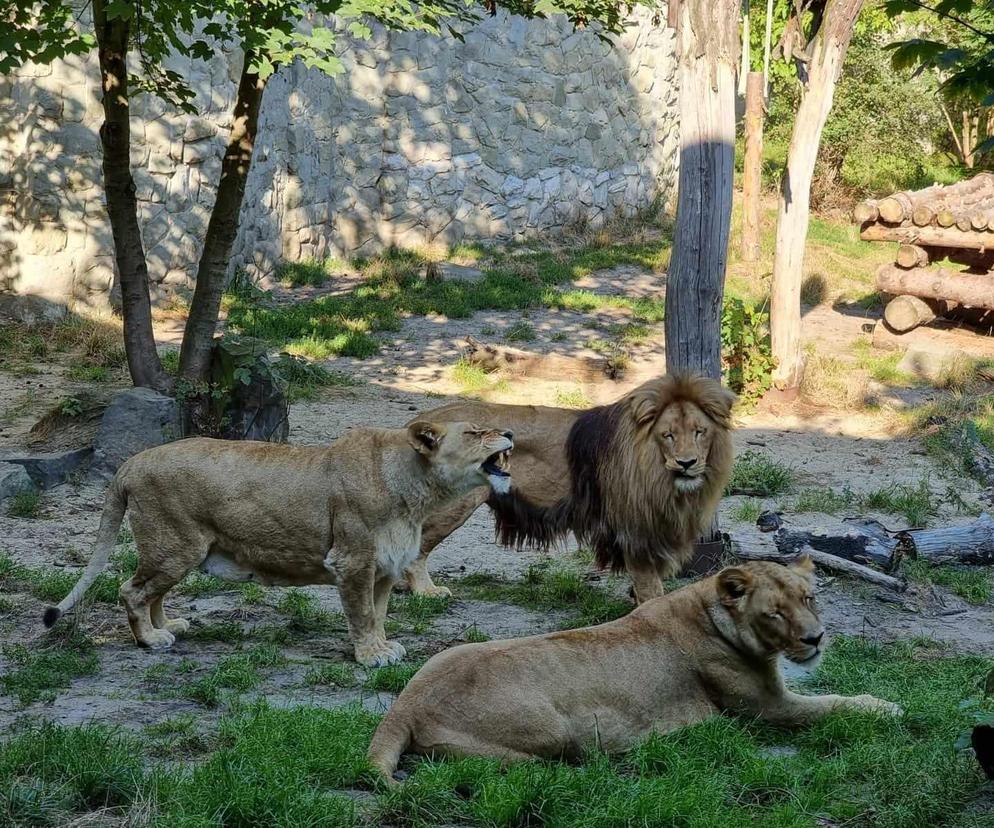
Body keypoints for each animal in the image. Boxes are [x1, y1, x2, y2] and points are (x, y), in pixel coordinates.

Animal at [40, 420, 512, 668]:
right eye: (474, 432)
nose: (509, 432)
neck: (416, 491)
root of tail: (131, 462)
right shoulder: (352, 561)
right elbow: (361, 615)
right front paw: (369, 657)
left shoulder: (383, 568)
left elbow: (378, 614)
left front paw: (383, 647)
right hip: (175, 546)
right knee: (131, 590)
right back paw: (150, 641)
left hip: (176, 551)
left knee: (151, 592)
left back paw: (168, 626)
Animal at [368, 556, 904, 776]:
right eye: (775, 612)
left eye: (809, 598)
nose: (816, 638)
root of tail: (404, 705)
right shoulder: (768, 709)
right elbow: (835, 704)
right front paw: (887, 707)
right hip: (557, 729)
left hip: (446, 654)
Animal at [404, 374, 736, 600]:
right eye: (668, 435)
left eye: (700, 432)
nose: (687, 463)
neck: (659, 473)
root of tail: (424, 421)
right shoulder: (635, 530)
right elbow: (651, 588)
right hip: (452, 504)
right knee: (416, 550)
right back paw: (426, 592)